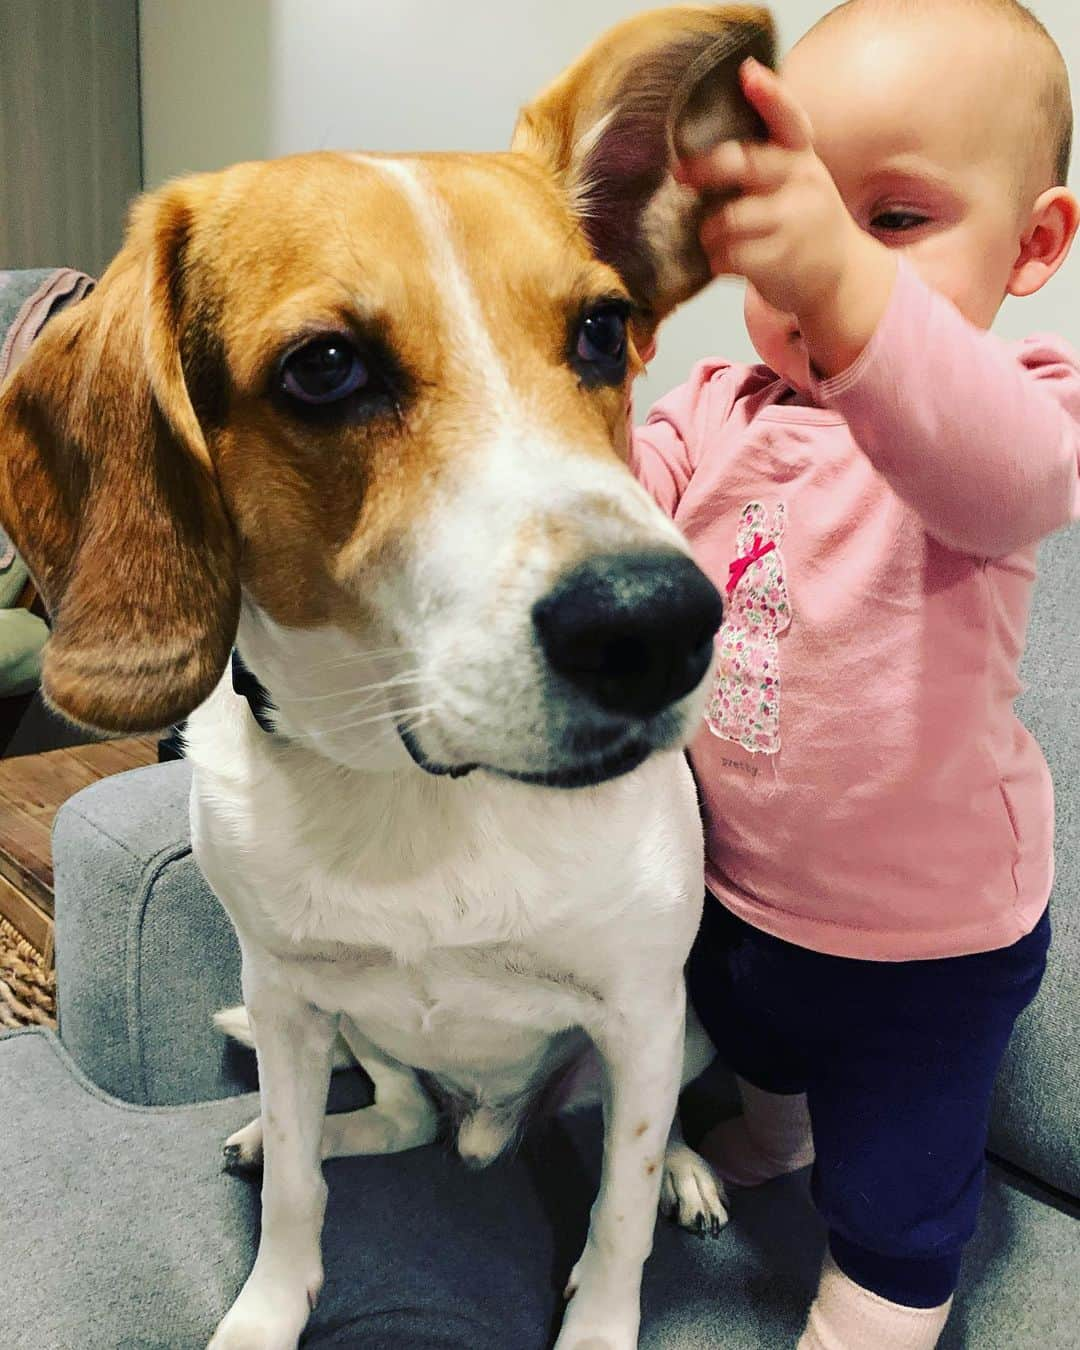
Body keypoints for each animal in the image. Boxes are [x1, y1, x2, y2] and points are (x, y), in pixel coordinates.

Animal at [0, 5, 777, 1344]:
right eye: (325, 368)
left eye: (602, 331)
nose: (658, 625)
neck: (425, 792)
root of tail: (490, 1131)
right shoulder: (292, 1001)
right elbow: (299, 1206)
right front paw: (268, 1301)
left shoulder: (637, 1014)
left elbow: (615, 1221)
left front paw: (616, 1279)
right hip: (349, 1027)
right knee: (402, 1118)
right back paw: (290, 1133)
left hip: (675, 1035)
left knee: (646, 1126)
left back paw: (686, 1168)